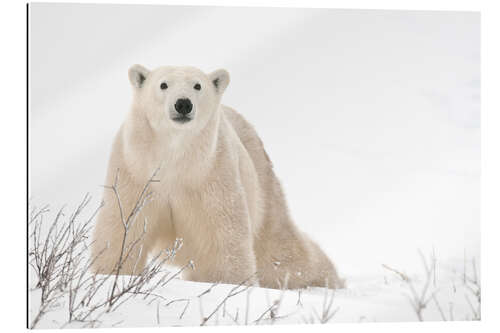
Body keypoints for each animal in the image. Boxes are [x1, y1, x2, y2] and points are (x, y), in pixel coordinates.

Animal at [92, 65, 344, 288]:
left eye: (197, 85)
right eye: (163, 84)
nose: (183, 103)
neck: (175, 159)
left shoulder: (212, 172)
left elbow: (222, 234)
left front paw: (231, 283)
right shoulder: (135, 170)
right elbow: (122, 225)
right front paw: (108, 274)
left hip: (262, 183)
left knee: (278, 250)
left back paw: (327, 279)